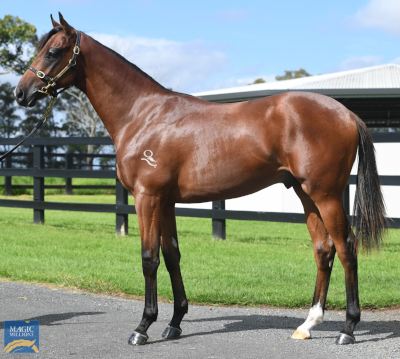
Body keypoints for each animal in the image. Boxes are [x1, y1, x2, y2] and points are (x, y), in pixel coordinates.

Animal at [14, 13, 386, 346]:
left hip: (326, 194)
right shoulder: (165, 201)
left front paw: (143, 327)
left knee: (346, 247)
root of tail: (346, 112)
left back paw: (347, 329)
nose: (21, 92)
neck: (142, 114)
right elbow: (171, 255)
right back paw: (307, 325)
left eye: (53, 51)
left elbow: (149, 258)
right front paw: (175, 322)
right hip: (306, 194)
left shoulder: (147, 197)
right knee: (323, 249)